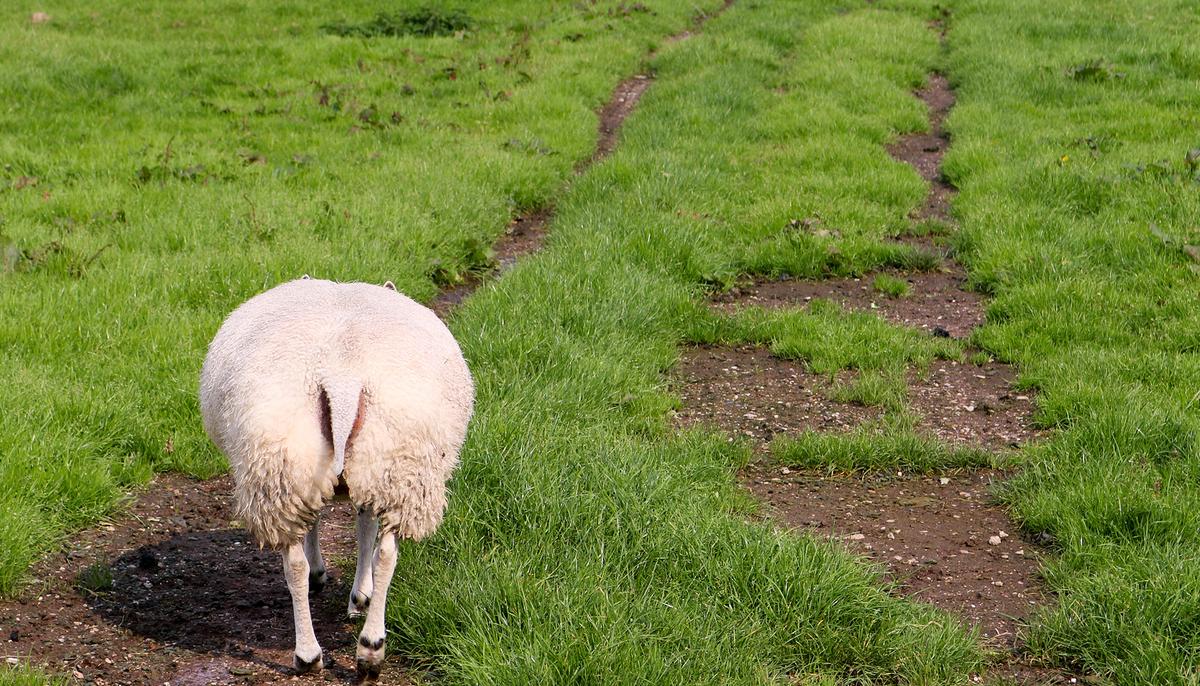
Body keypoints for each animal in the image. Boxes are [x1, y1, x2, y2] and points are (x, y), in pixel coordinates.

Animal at [199, 276, 474, 679]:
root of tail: (342, 377)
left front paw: (346, 588)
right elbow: (363, 528)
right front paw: (360, 595)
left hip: (293, 466)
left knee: (299, 563)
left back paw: (320, 652)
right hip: (394, 466)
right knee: (384, 554)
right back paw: (364, 649)